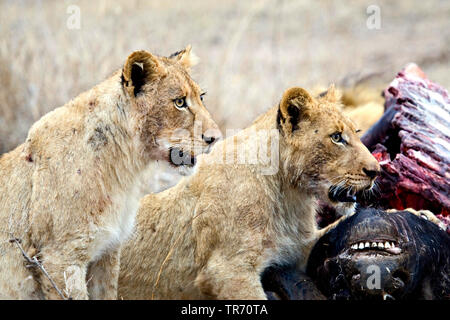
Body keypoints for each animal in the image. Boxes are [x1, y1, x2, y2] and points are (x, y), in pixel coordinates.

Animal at [0, 46, 220, 298]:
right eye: (180, 102)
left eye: (201, 97)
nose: (215, 138)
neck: (123, 166)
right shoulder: (60, 256)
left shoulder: (108, 250)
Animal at [118, 85, 382, 300]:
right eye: (337, 137)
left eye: (357, 132)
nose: (376, 171)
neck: (289, 195)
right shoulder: (227, 271)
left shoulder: (298, 252)